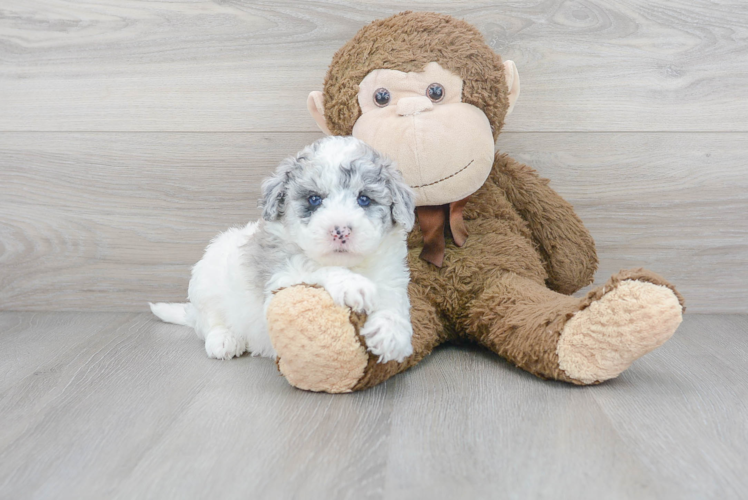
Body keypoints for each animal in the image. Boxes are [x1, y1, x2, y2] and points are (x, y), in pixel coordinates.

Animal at [146, 137, 414, 364]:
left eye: (364, 199)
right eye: (314, 199)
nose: (341, 231)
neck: (352, 264)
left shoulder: (391, 276)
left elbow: (393, 301)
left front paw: (391, 333)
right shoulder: (279, 277)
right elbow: (313, 267)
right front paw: (351, 284)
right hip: (205, 285)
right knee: (209, 322)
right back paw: (224, 340)